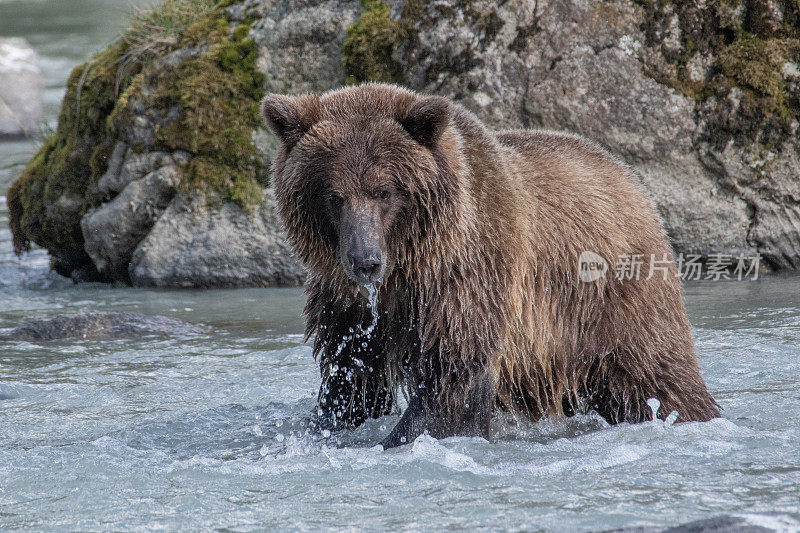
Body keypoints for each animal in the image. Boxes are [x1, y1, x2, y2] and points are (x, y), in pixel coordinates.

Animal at [260, 84, 720, 448]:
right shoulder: (347, 306)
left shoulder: (468, 275)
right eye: (334, 195)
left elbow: (451, 376)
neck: (407, 267)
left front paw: (397, 439)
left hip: (614, 303)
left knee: (656, 375)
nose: (365, 262)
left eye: (384, 191)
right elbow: (351, 382)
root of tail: (630, 176)